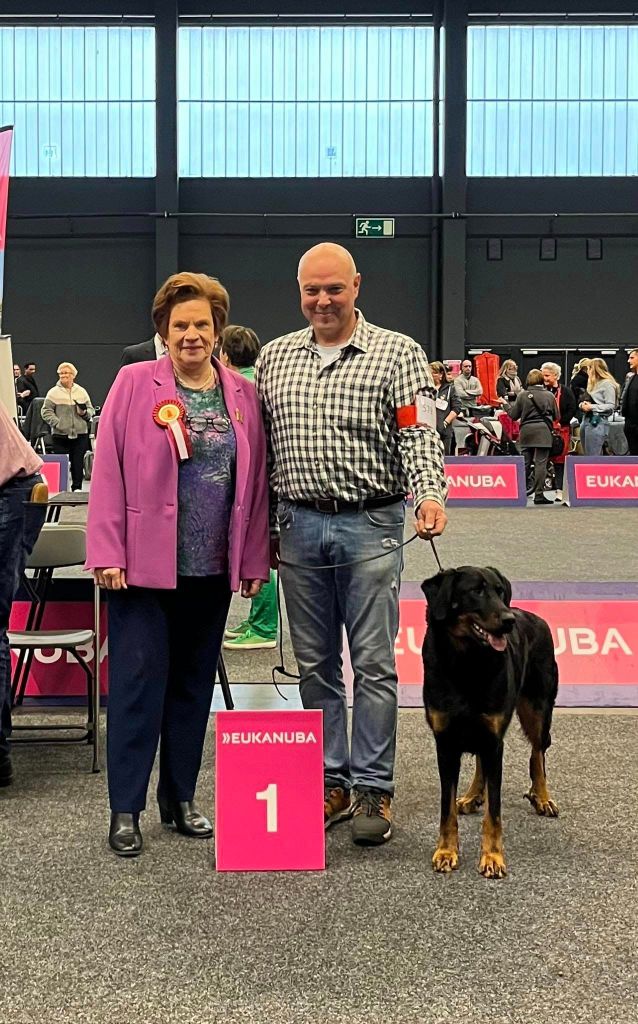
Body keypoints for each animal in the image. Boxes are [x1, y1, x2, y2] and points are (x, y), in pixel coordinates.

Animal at [423, 565, 557, 876]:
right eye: (476, 591)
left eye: (500, 591)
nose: (508, 621)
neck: (467, 662)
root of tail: (536, 618)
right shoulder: (446, 743)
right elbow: (446, 807)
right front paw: (446, 851)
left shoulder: (494, 738)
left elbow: (494, 812)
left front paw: (493, 857)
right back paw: (472, 795)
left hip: (538, 708)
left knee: (538, 752)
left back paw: (542, 796)